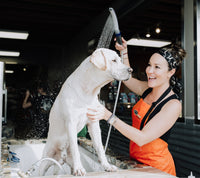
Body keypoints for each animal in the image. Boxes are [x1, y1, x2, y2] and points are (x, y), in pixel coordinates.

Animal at [39, 48, 132, 176]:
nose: (131, 70)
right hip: (45, 161)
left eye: (119, 59)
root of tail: (61, 158)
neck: (88, 91)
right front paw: (79, 168)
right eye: (114, 60)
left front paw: (107, 166)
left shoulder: (94, 123)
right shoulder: (71, 123)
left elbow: (100, 147)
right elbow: (75, 148)